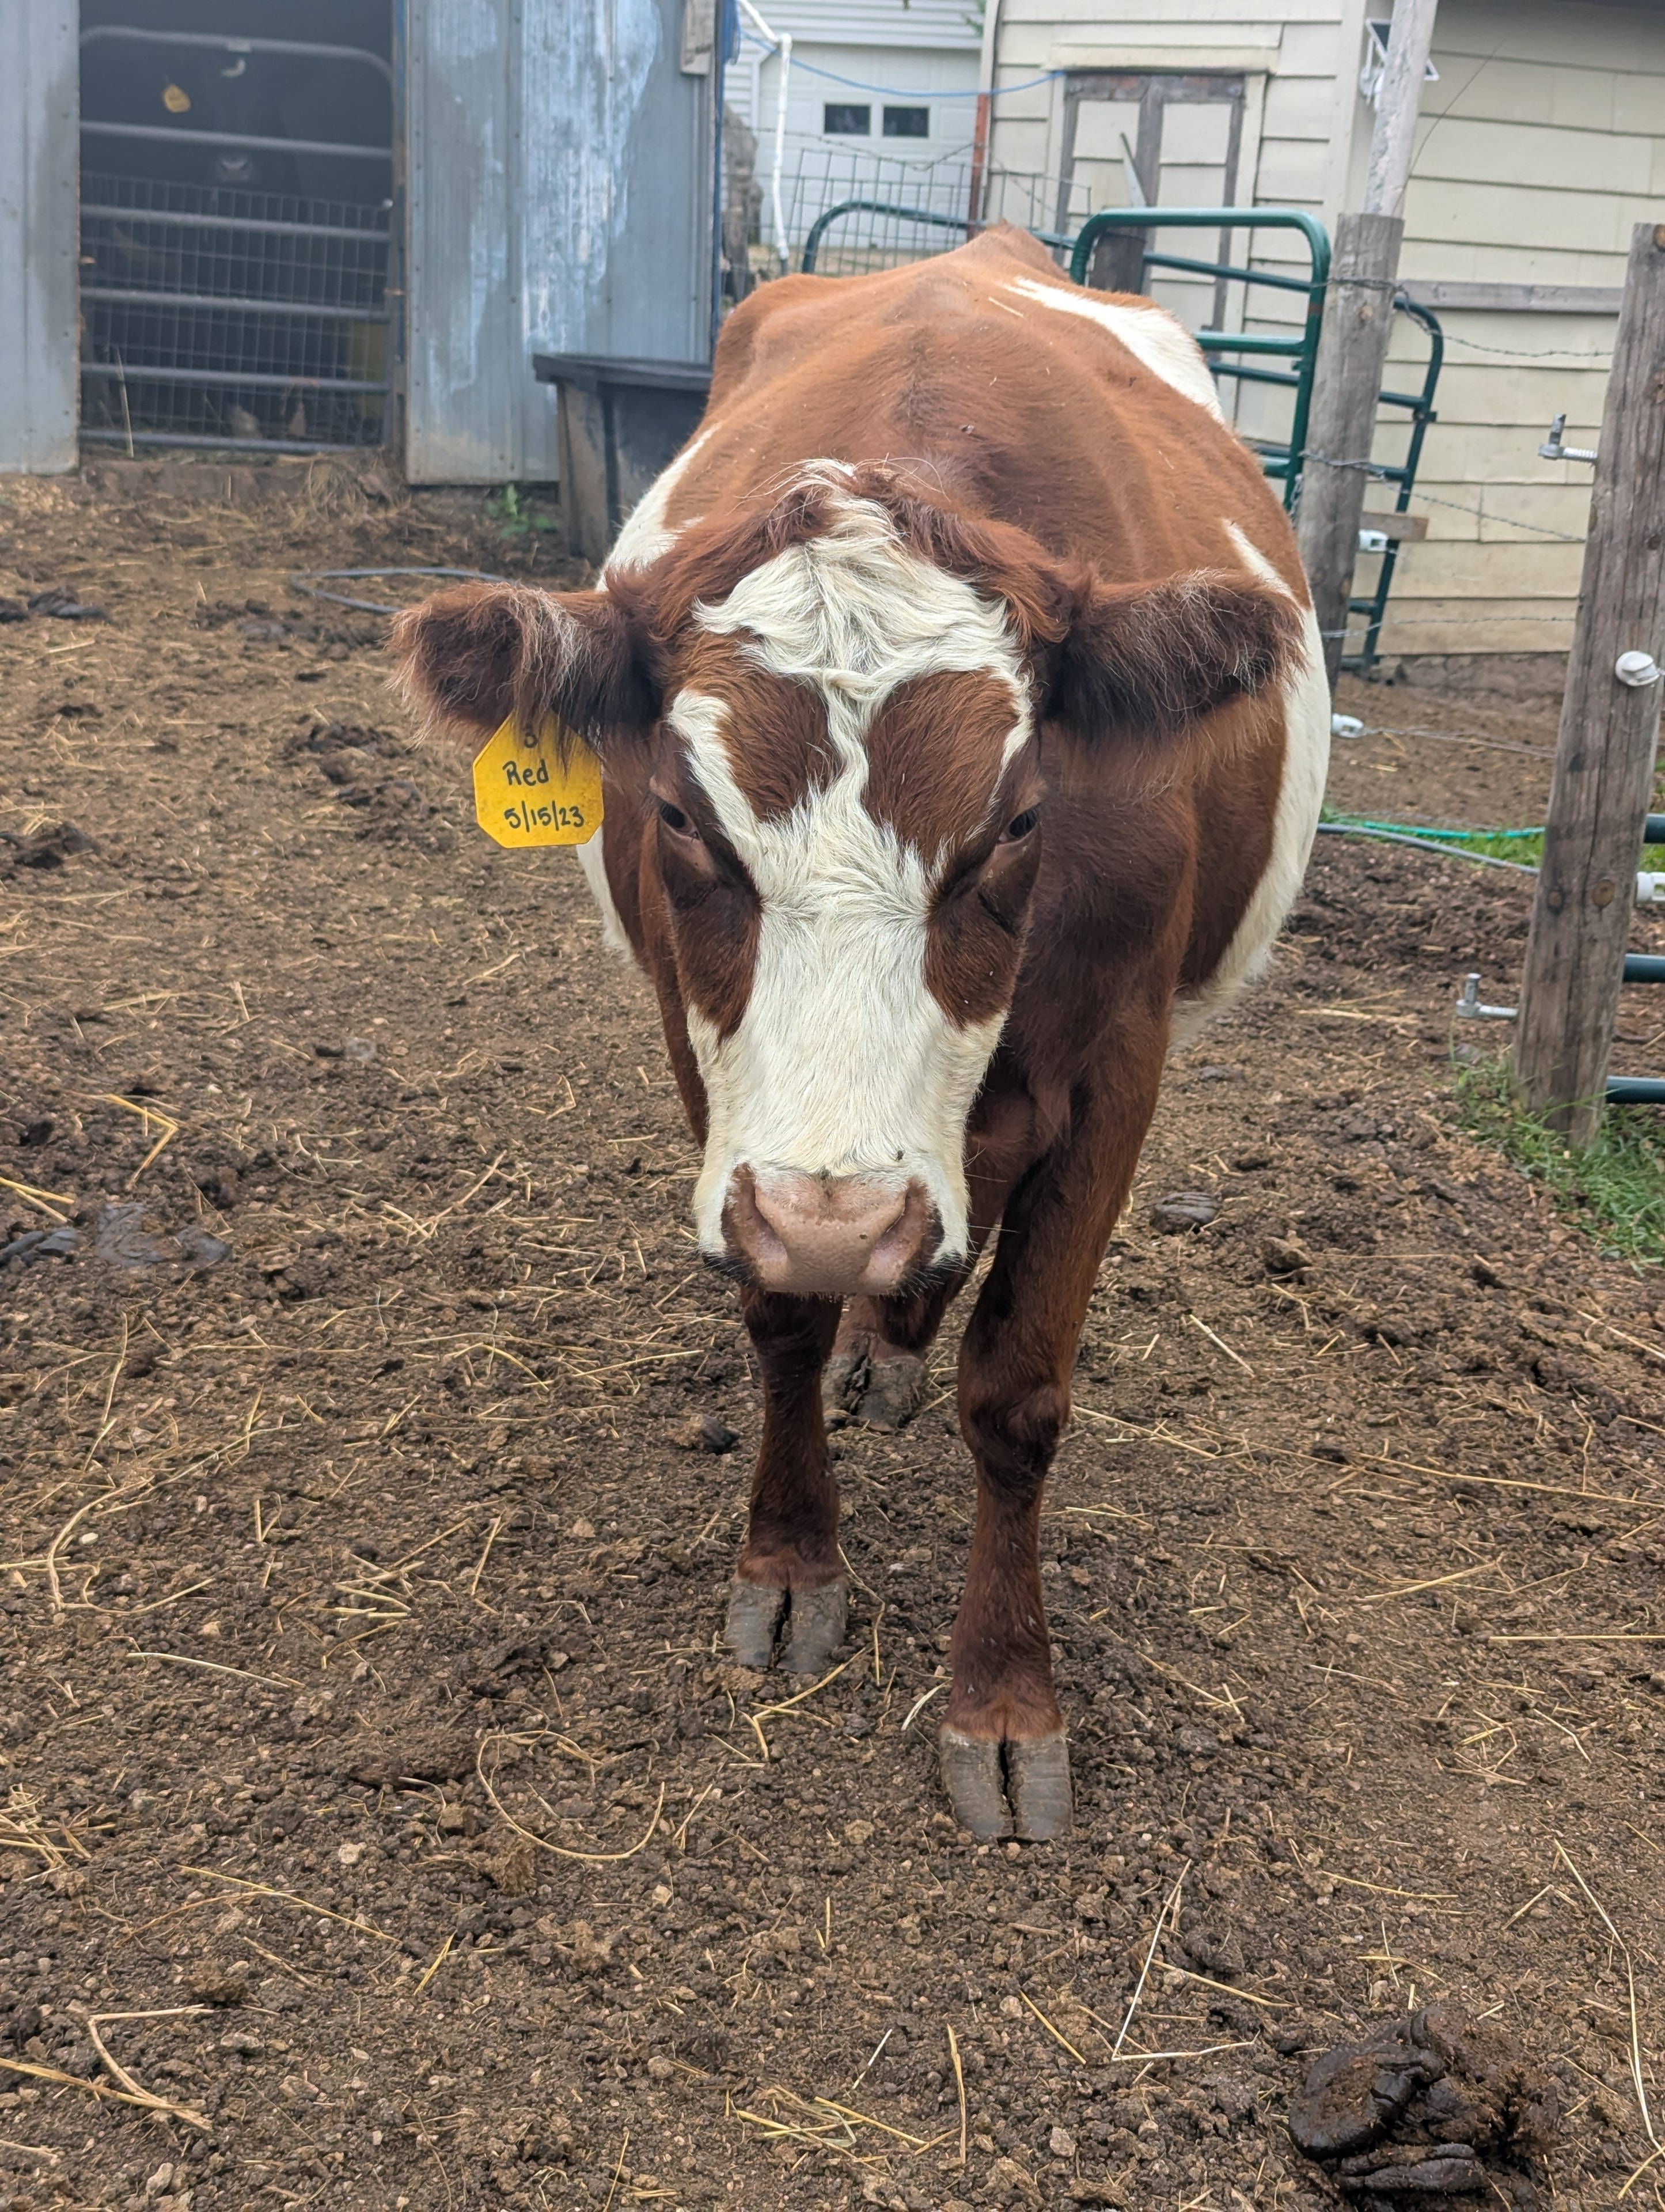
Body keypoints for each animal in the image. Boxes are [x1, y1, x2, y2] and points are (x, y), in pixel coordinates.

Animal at [395, 225, 1328, 1841]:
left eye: (1017, 822)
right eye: (676, 814)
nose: (843, 1219)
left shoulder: (1118, 1066)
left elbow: (1016, 1391)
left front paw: (1005, 1700)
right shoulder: (706, 1072)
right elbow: (776, 1312)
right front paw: (788, 1562)